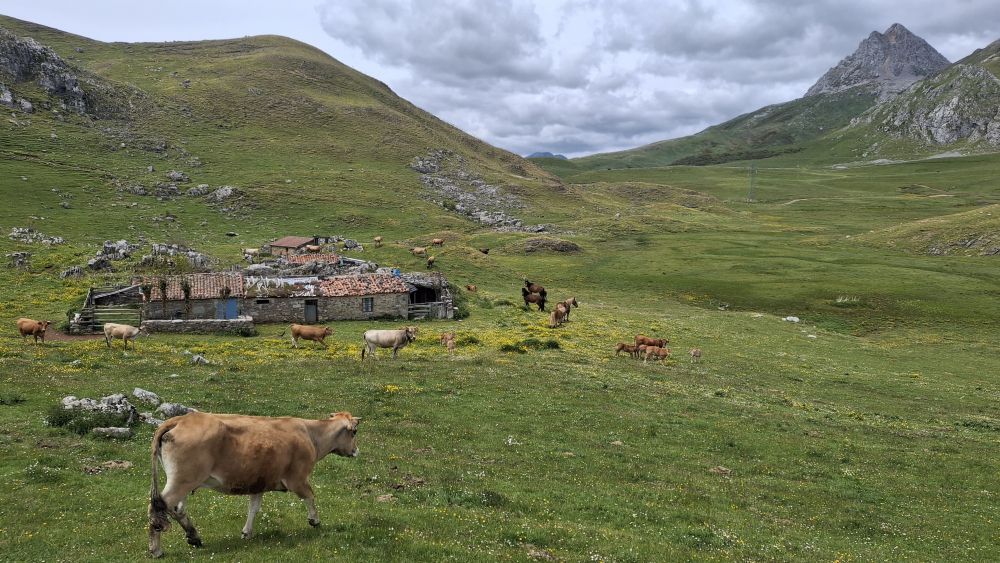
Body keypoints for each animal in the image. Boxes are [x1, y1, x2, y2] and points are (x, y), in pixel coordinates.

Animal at [147, 411, 360, 557]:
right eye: (354, 432)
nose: (356, 451)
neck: (310, 434)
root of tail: (181, 419)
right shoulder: (298, 479)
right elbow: (310, 496)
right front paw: (314, 520)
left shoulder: (259, 482)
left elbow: (254, 508)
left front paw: (247, 532)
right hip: (182, 480)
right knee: (158, 506)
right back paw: (156, 549)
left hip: (185, 481)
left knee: (177, 509)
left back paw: (194, 536)